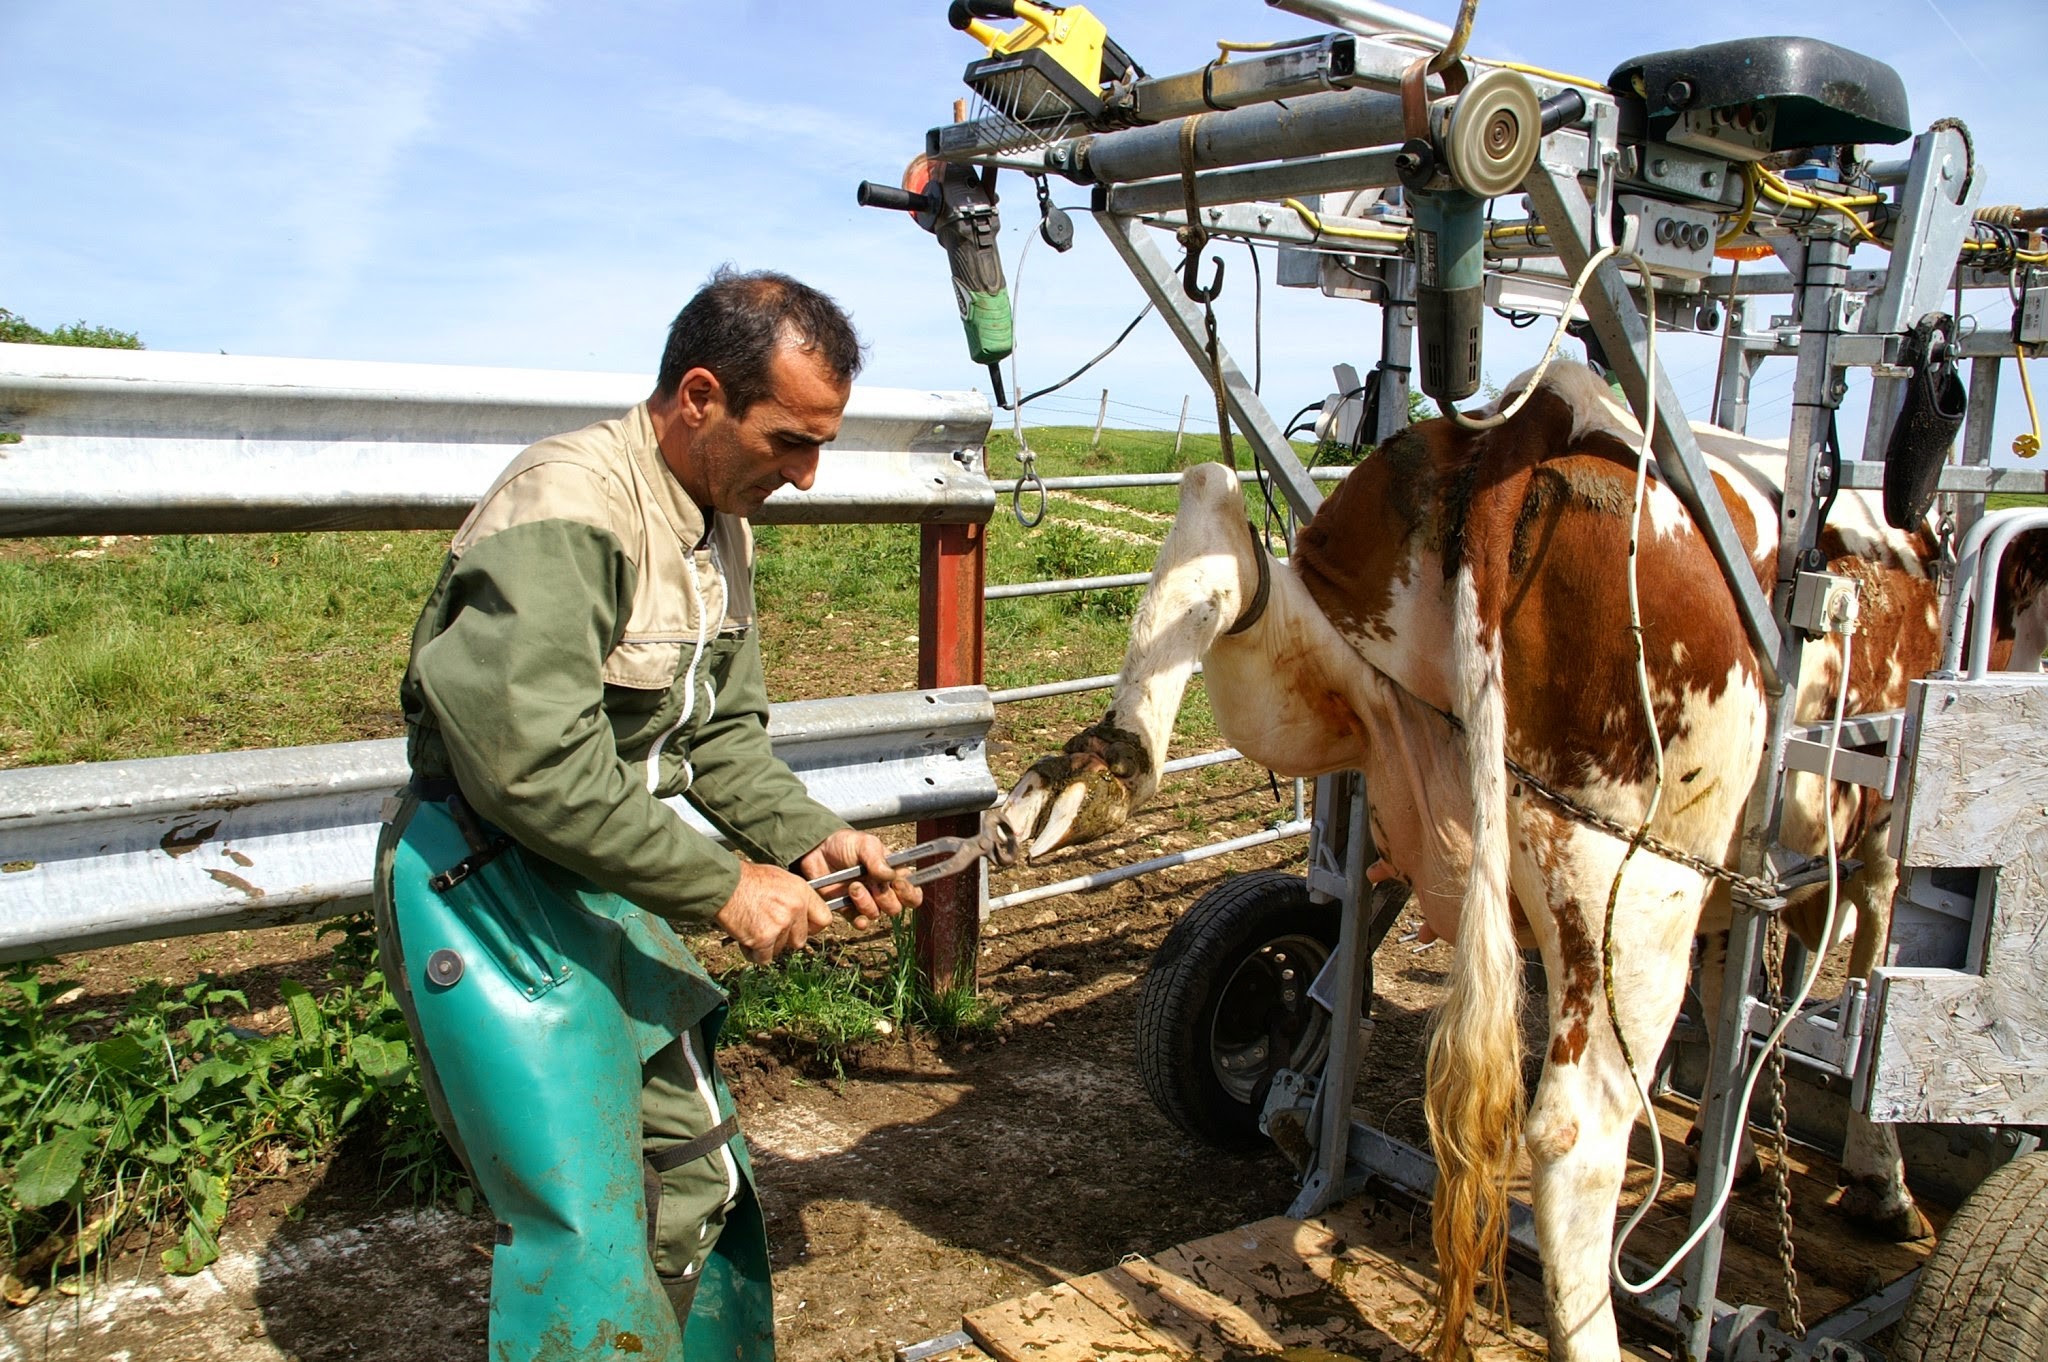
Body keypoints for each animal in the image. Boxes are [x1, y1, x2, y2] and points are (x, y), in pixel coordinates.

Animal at [995, 358, 2048, 1359]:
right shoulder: (1872, 860)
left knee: (1224, 534)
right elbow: (1864, 1014)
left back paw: (1076, 785)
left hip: (1337, 697)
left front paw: (1735, 1141)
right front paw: (1877, 1183)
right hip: (1636, 888)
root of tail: (1537, 422)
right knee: (1573, 1136)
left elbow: (1734, 1011)